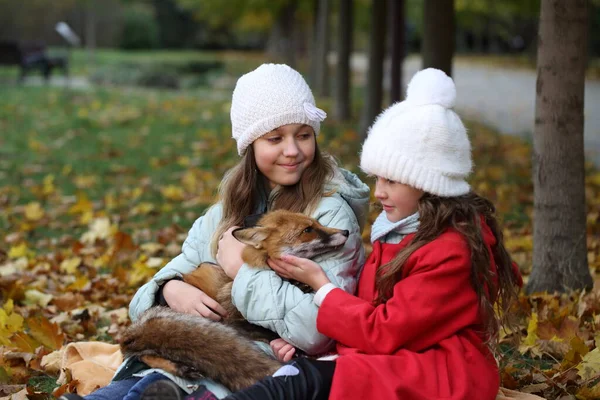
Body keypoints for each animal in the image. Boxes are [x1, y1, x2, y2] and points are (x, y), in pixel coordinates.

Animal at [120, 211, 350, 392]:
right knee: (137, 355)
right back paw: (178, 367)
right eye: (308, 230)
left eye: (317, 223)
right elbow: (268, 332)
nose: (346, 232)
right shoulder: (229, 318)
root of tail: (135, 327)